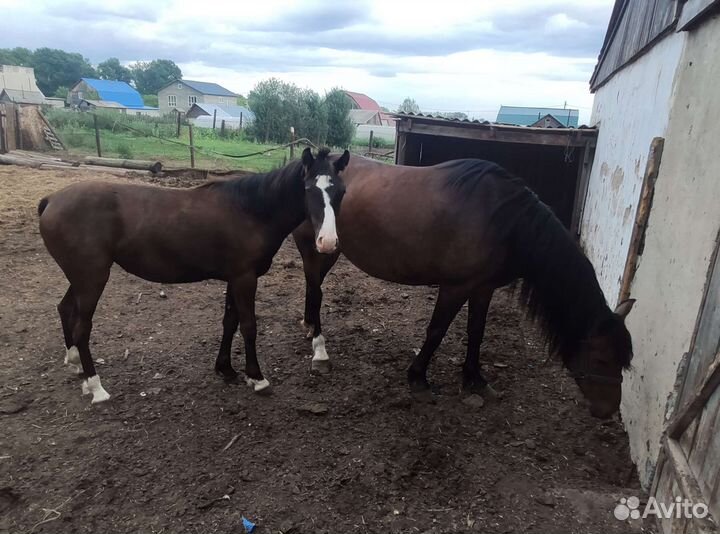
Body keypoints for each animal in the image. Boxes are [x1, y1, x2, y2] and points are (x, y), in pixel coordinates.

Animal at [38, 147, 348, 404]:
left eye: (341, 191)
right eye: (309, 189)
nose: (328, 242)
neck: (250, 210)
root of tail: (52, 199)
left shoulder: (234, 278)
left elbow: (229, 322)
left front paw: (225, 369)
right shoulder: (245, 278)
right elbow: (248, 326)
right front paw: (257, 378)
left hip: (80, 278)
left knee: (65, 309)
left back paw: (76, 364)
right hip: (91, 278)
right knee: (82, 327)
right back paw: (96, 388)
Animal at [293, 155, 634, 418]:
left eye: (623, 361)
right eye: (602, 359)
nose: (608, 411)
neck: (504, 220)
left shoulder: (483, 287)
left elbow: (476, 332)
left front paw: (475, 378)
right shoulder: (455, 287)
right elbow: (436, 331)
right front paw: (418, 379)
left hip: (330, 251)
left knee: (314, 287)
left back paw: (310, 327)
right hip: (316, 249)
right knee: (315, 287)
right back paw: (319, 350)